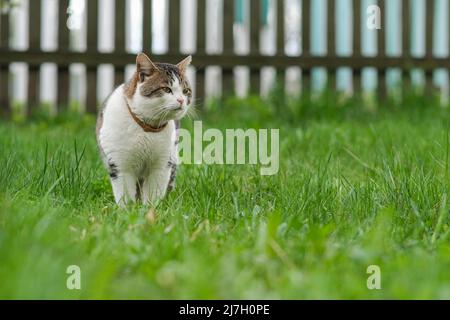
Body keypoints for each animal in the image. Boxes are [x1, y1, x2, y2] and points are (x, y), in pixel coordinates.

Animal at [96, 52, 192, 205]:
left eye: (186, 91)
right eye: (166, 89)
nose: (181, 100)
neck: (147, 128)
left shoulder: (162, 164)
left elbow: (154, 192)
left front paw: (151, 209)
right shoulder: (119, 163)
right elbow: (125, 193)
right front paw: (128, 209)